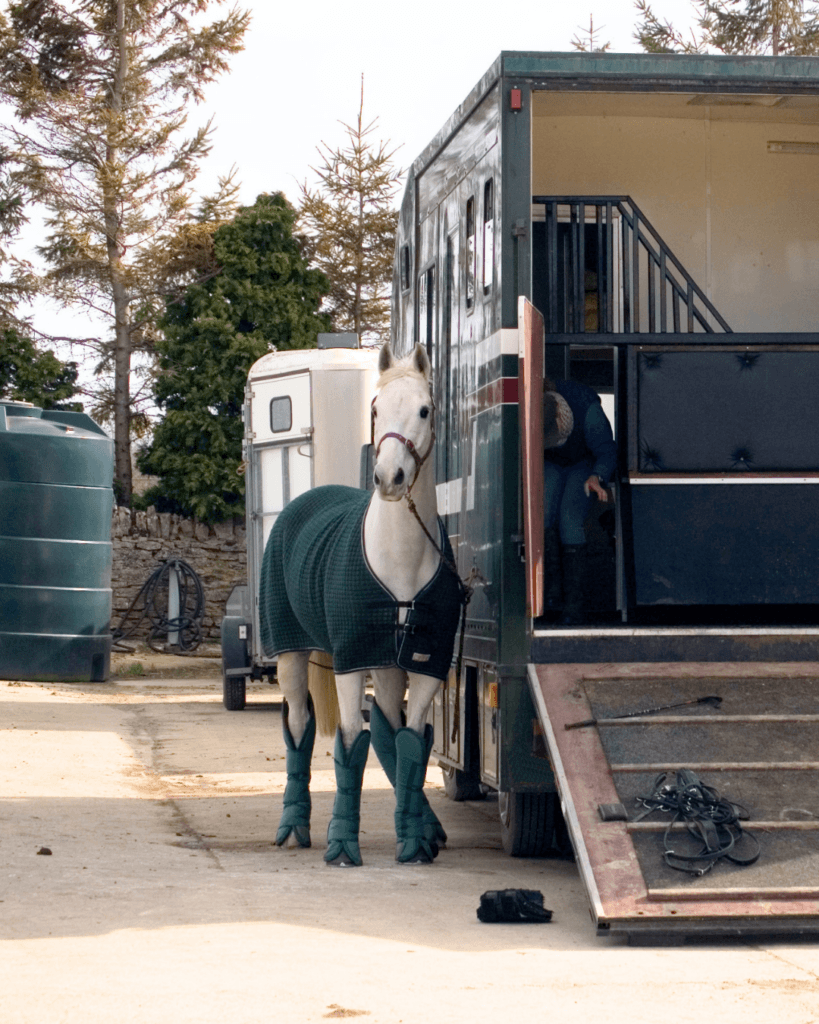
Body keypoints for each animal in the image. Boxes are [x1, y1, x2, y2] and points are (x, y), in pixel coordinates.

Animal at [259, 341, 464, 866]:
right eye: (375, 409)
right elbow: (351, 741)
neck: (401, 560)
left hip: (388, 666)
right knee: (299, 723)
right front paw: (342, 844)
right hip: (291, 654)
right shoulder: (350, 660)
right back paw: (293, 825)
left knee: (390, 732)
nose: (389, 478)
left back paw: (423, 828)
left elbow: (411, 743)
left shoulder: (425, 663)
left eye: (425, 409)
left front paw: (412, 841)